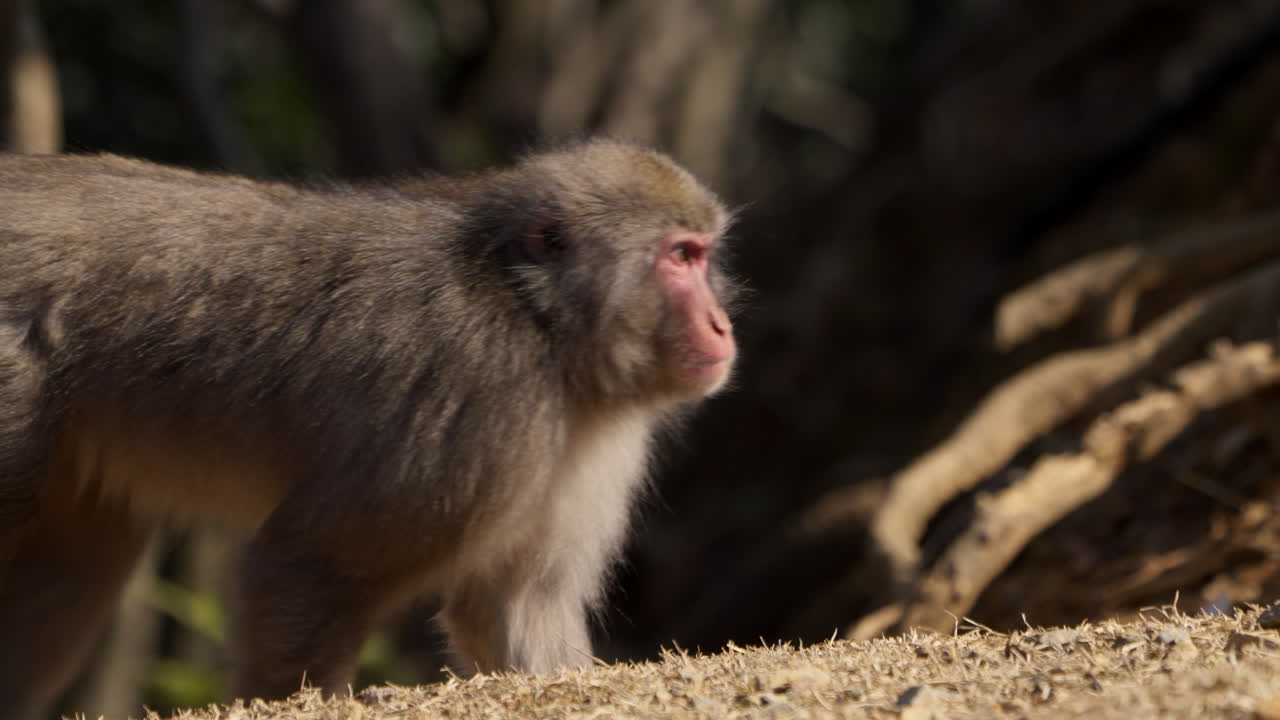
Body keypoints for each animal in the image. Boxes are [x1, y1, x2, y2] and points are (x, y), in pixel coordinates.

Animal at [0, 139, 738, 717]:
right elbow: (308, 564)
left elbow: (515, 606)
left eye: (703, 255)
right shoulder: (476, 401)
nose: (723, 324)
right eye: (679, 257)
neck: (540, 323)